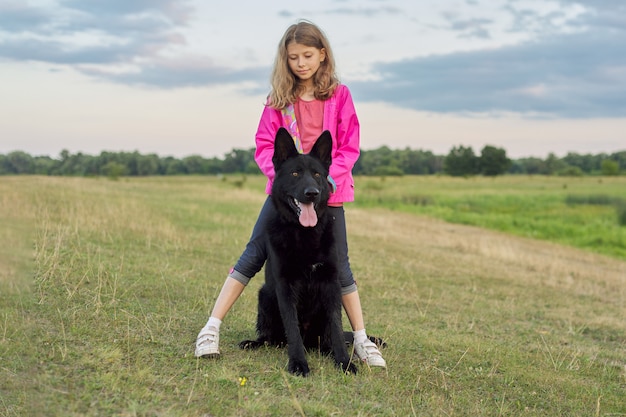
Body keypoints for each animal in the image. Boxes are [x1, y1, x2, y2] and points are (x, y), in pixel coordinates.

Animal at [239, 127, 356, 376]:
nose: (312, 193)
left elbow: (336, 326)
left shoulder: (331, 284)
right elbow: (292, 329)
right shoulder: (285, 286)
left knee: (328, 338)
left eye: (318, 175)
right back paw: (255, 342)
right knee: (273, 337)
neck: (304, 234)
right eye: (294, 174)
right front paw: (298, 363)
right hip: (265, 296)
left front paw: (344, 361)